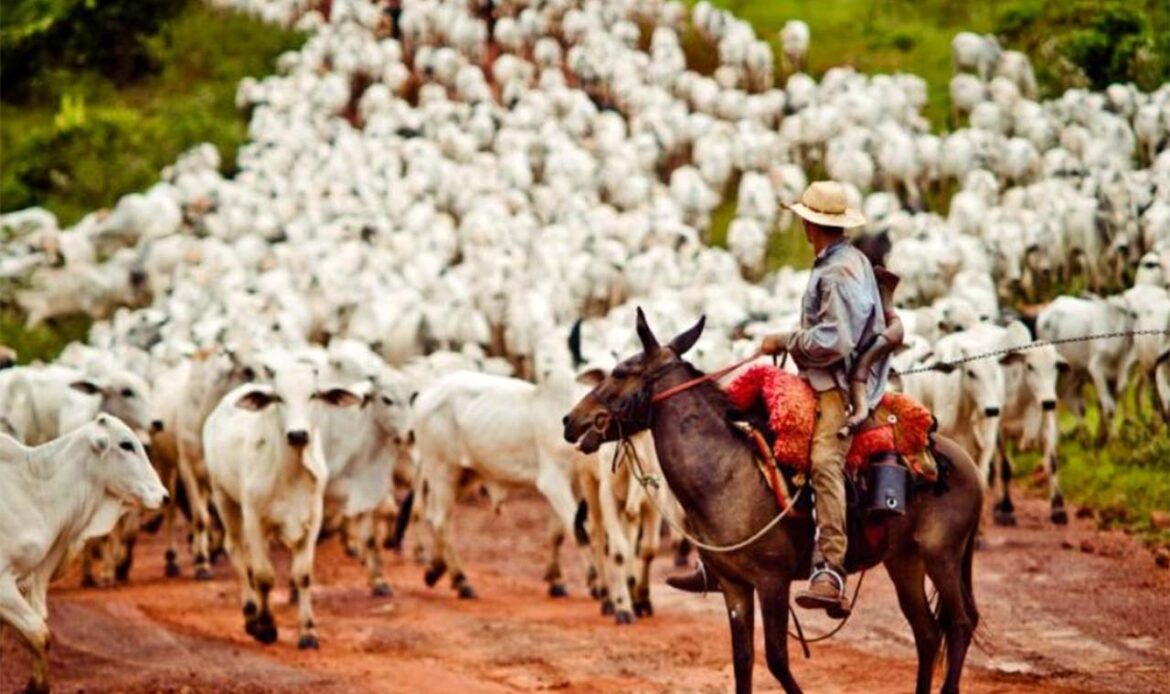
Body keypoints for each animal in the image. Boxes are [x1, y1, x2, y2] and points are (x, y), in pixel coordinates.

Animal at [1, 416, 167, 692]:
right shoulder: (3, 585)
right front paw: (37, 686)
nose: (164, 496)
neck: (35, 492)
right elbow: (39, 634)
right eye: (126, 444)